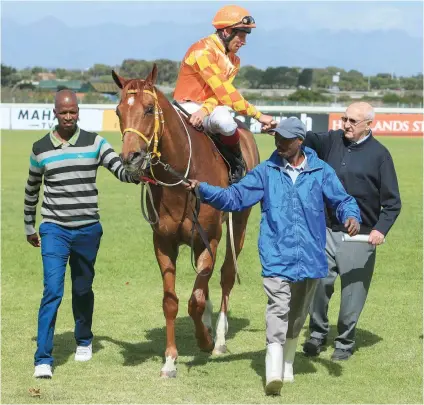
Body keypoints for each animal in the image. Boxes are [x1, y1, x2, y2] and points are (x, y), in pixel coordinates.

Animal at [111, 64, 260, 378]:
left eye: (149, 108)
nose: (131, 157)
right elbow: (172, 301)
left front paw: (205, 341)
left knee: (226, 275)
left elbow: (196, 300)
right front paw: (170, 360)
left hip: (239, 224)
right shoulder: (163, 242)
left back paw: (219, 337)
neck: (180, 180)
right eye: (118, 111)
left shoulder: (209, 240)